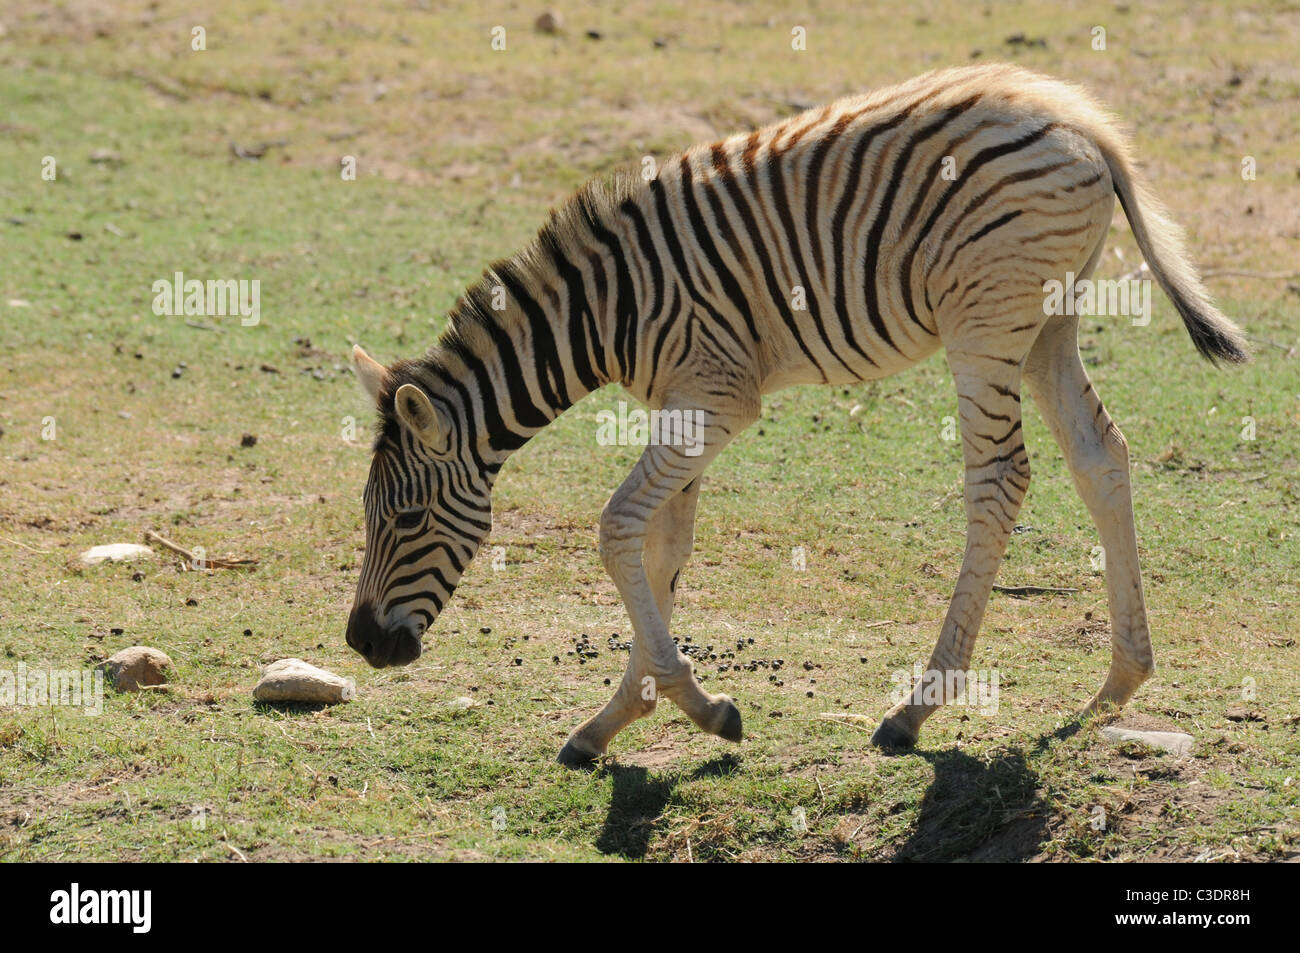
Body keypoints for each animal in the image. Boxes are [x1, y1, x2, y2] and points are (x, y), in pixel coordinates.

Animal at [345, 63, 1248, 765]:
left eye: (409, 517)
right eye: (369, 514)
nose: (360, 643)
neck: (609, 308)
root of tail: (1083, 121)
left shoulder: (717, 399)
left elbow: (617, 526)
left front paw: (689, 703)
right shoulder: (685, 403)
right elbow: (664, 545)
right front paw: (627, 717)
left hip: (985, 323)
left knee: (1000, 480)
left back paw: (916, 708)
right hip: (1045, 324)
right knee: (1101, 454)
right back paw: (1117, 683)